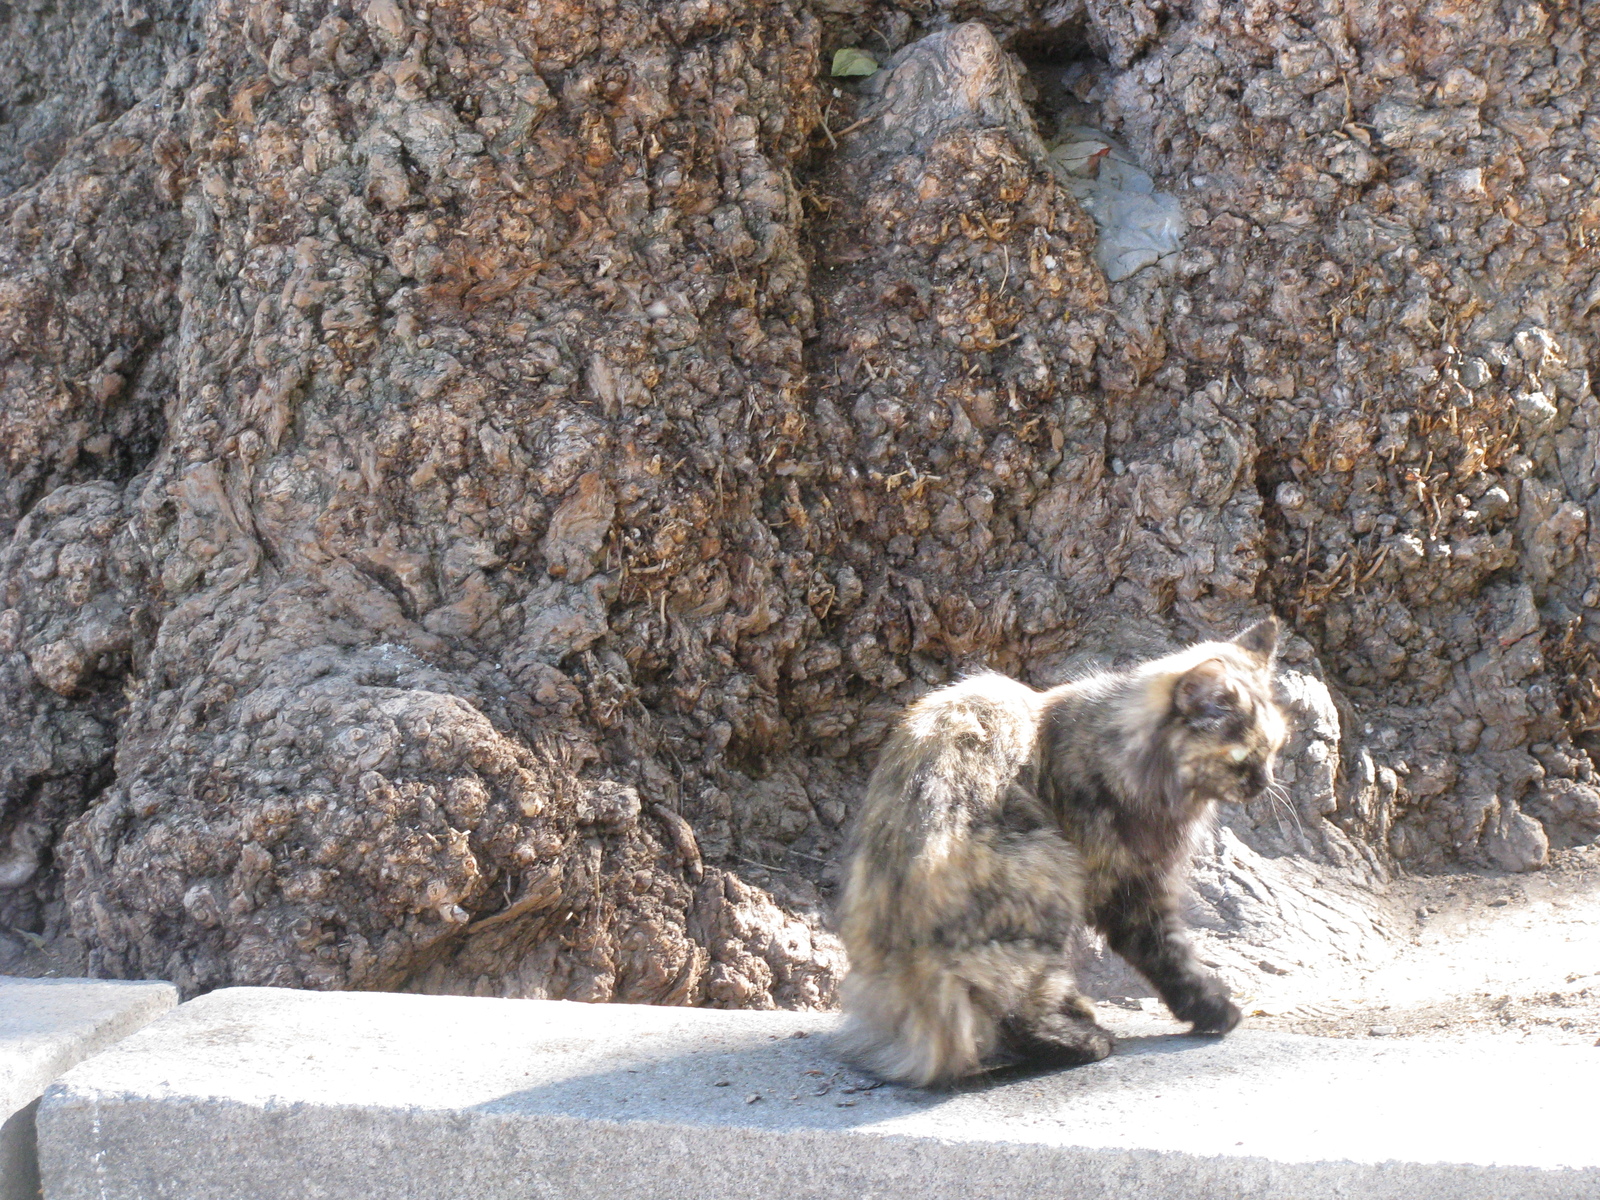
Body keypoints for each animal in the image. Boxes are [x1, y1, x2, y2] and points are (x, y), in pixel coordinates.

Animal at [838, 620, 1286, 1088]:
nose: (1265, 782)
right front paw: (1215, 1010)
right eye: (1242, 756)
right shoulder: (1133, 882)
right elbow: (1172, 955)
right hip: (1049, 878)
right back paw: (1086, 1041)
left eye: (1275, 747)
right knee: (1014, 1008)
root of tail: (915, 963)